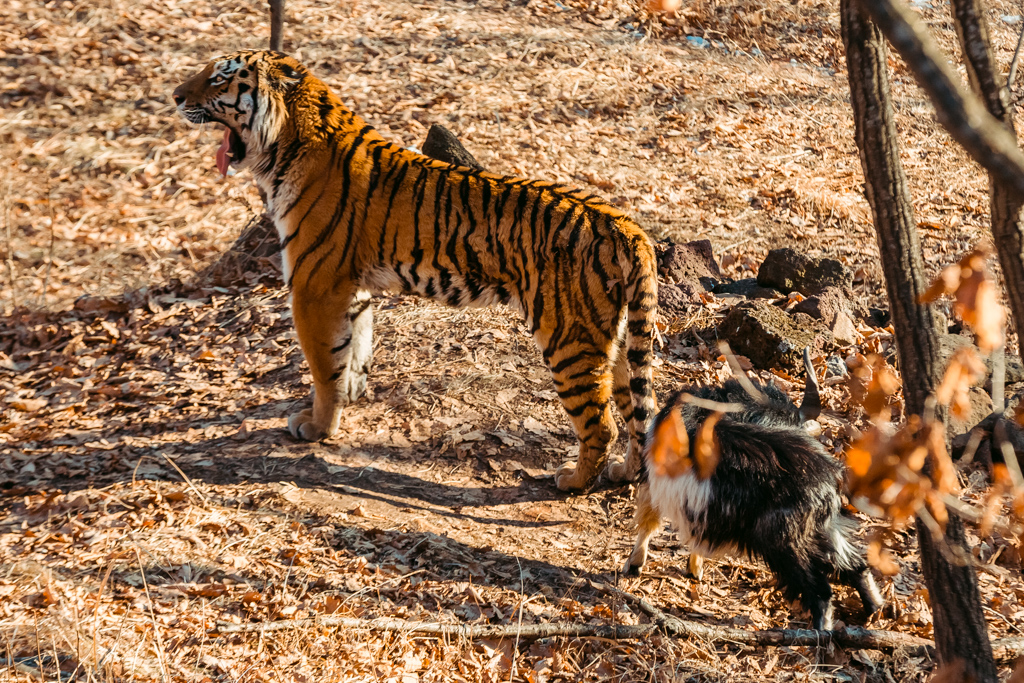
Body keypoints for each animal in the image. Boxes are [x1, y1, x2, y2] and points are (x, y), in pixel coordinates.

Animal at [172, 52, 659, 491]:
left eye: (219, 78)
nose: (175, 96)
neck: (285, 145)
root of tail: (627, 225)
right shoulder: (347, 288)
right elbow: (352, 350)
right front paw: (350, 394)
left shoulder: (313, 288)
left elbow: (323, 367)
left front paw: (317, 428)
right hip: (615, 340)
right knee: (642, 410)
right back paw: (625, 473)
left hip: (569, 339)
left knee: (601, 424)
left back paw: (573, 480)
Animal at [618, 352, 884, 630]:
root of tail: (832, 475)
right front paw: (693, 568)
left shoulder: (655, 484)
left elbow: (649, 522)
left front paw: (634, 564)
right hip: (824, 529)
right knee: (855, 566)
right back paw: (873, 612)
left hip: (785, 540)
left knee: (820, 591)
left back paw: (821, 631)